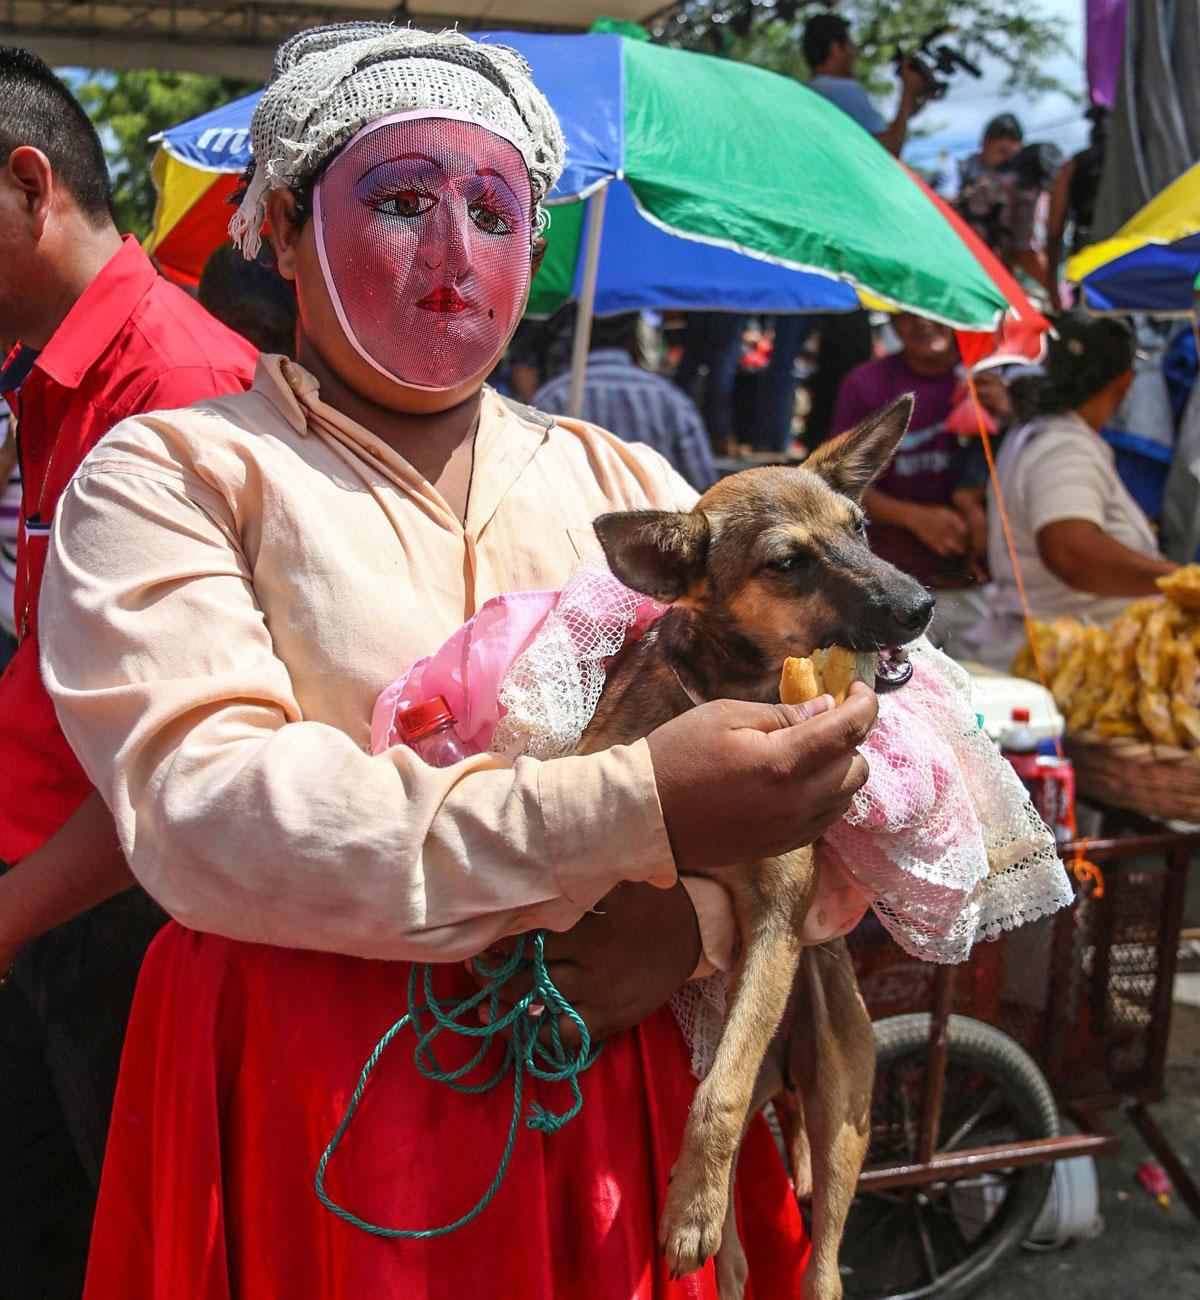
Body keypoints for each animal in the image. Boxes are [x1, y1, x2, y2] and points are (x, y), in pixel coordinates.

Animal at [577, 395, 936, 1300]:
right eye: (788, 563)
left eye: (862, 528)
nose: (921, 604)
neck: (732, 688)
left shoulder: (777, 922)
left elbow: (719, 1095)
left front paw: (688, 1211)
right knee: (740, 1255)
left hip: (841, 1101)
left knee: (822, 1264)